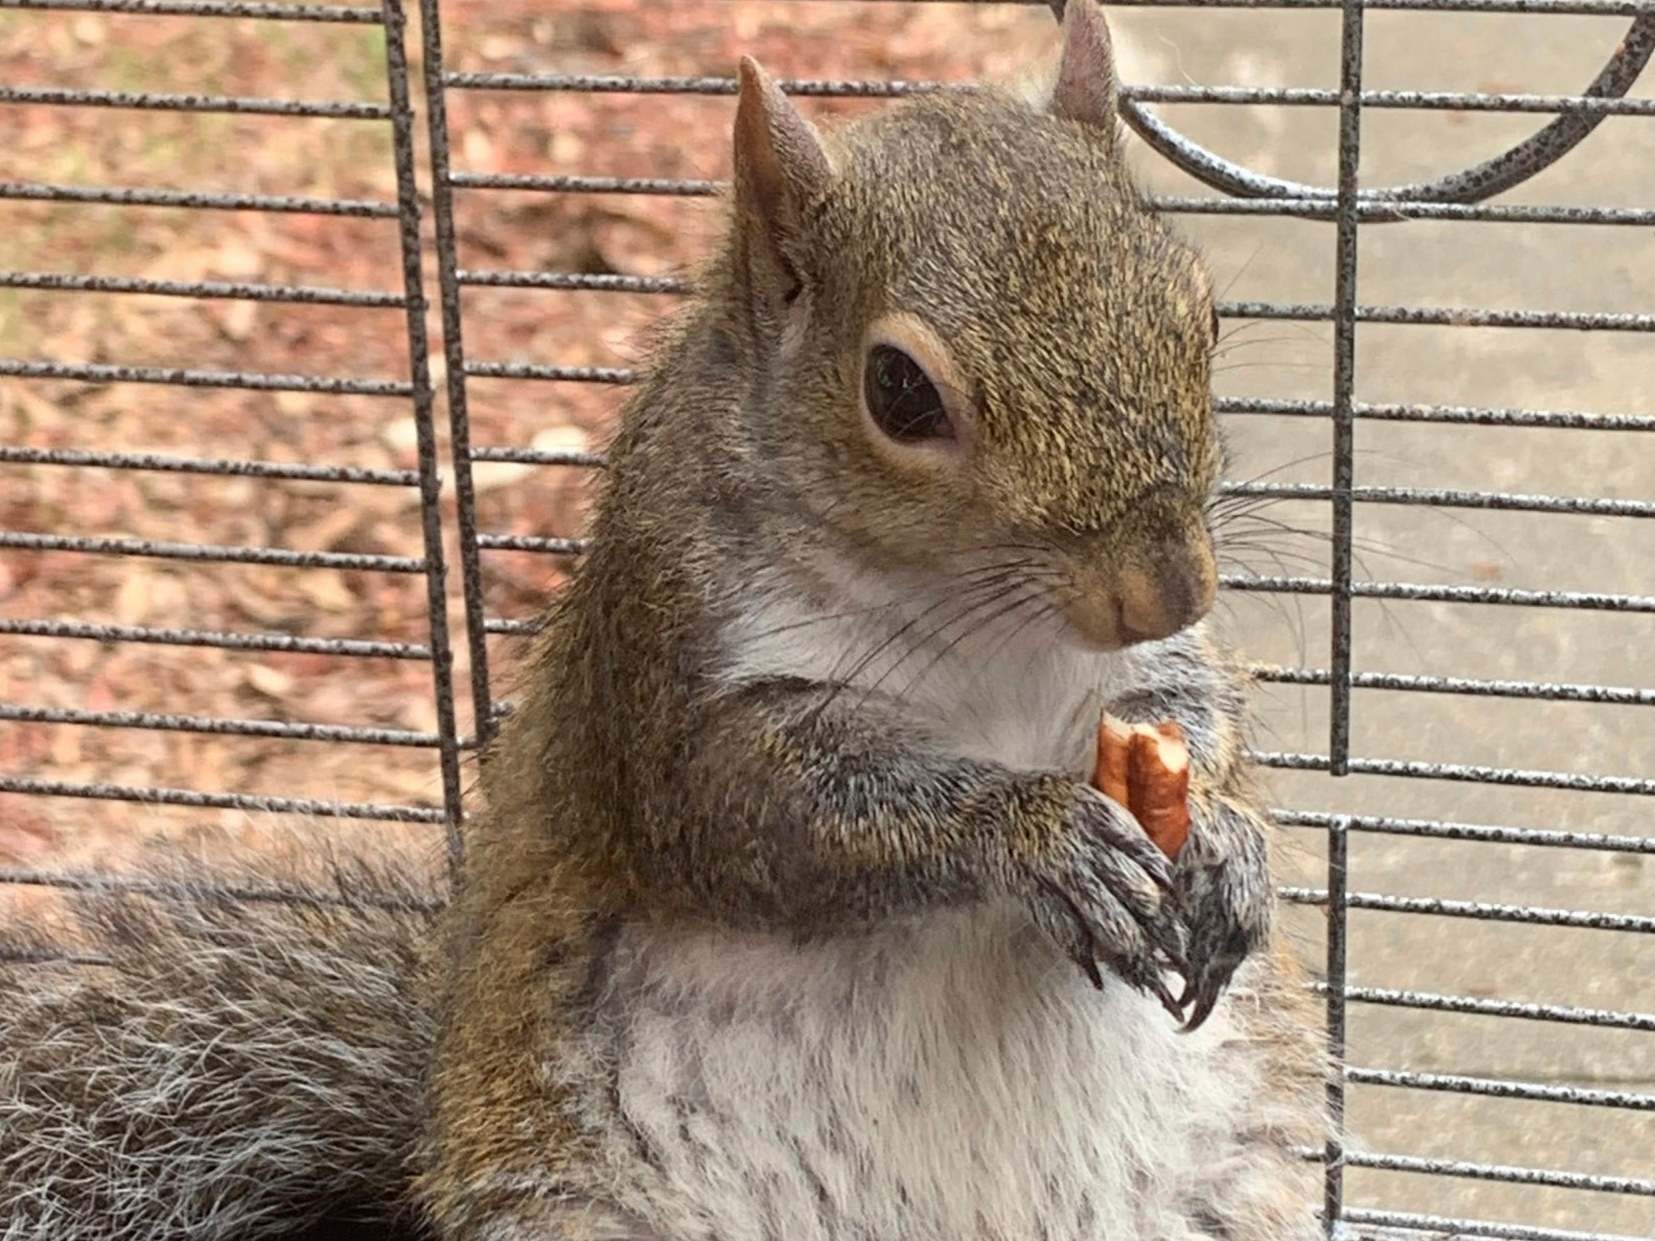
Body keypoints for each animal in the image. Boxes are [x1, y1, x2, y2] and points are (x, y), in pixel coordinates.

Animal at [0, 3, 1326, 1238]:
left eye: (1201, 314)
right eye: (898, 390)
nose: (1166, 584)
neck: (973, 629)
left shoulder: (1139, 677)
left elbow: (1190, 717)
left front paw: (1224, 846)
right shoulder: (663, 650)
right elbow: (756, 810)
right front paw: (1035, 833)